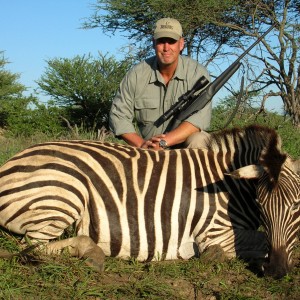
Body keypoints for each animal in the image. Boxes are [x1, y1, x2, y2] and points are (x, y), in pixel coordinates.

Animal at [0, 125, 298, 278]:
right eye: (260, 203)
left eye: (297, 205)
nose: (276, 271)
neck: (230, 185)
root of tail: (11, 162)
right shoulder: (213, 233)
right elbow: (257, 242)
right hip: (64, 194)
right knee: (34, 248)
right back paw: (93, 254)